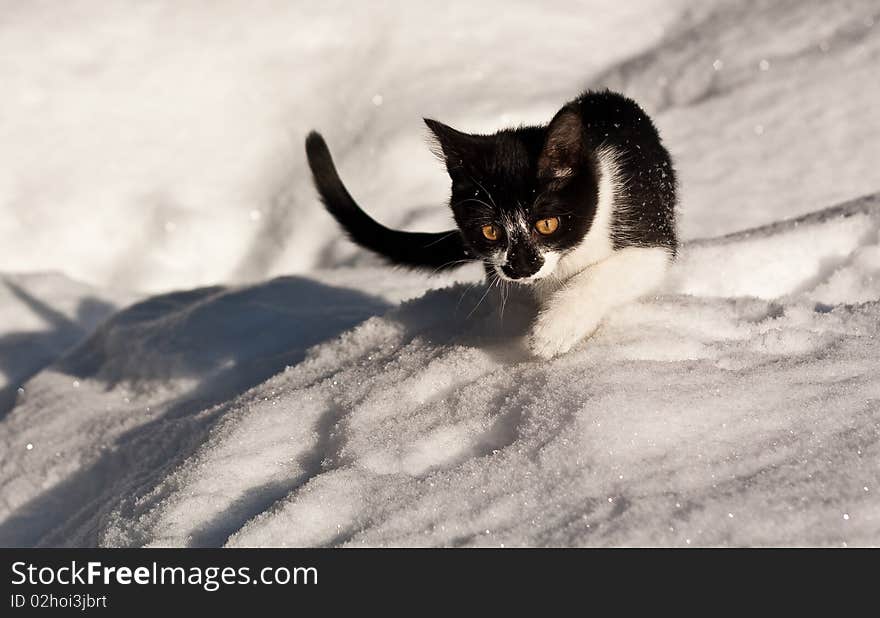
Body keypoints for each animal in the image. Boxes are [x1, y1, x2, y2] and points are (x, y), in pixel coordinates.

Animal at [306, 87, 676, 356]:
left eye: (546, 224)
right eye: (490, 230)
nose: (521, 267)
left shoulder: (649, 233)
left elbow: (608, 273)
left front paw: (552, 331)